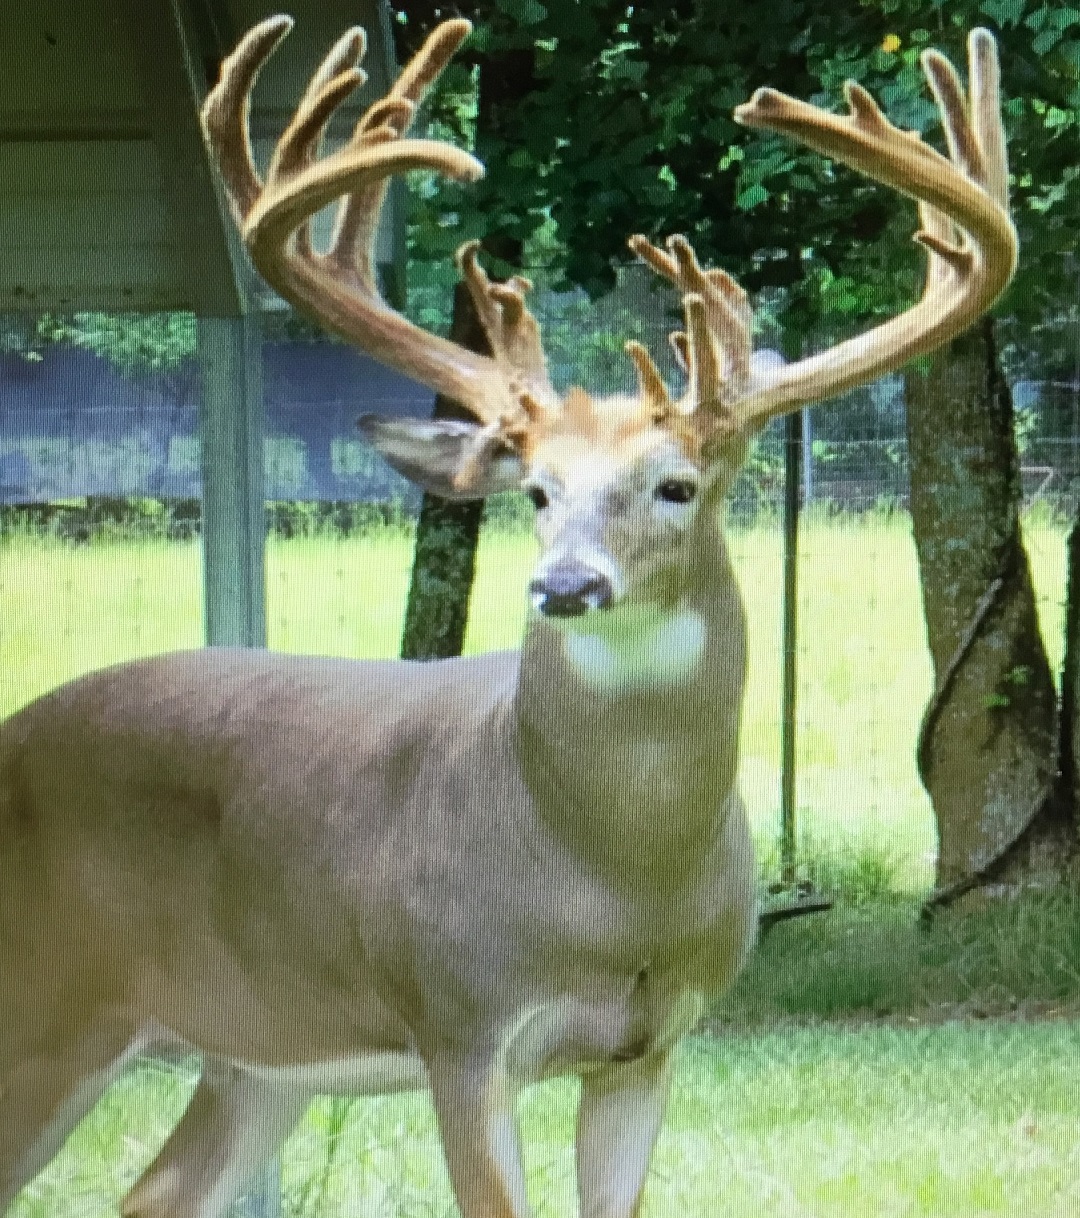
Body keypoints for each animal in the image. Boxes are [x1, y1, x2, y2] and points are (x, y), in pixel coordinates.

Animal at [0, 17, 1016, 1218]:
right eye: (534, 492)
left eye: (677, 485)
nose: (565, 586)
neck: (612, 880)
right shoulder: (461, 1024)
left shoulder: (650, 1045)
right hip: (44, 1003)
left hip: (256, 1055)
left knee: (155, 1193)